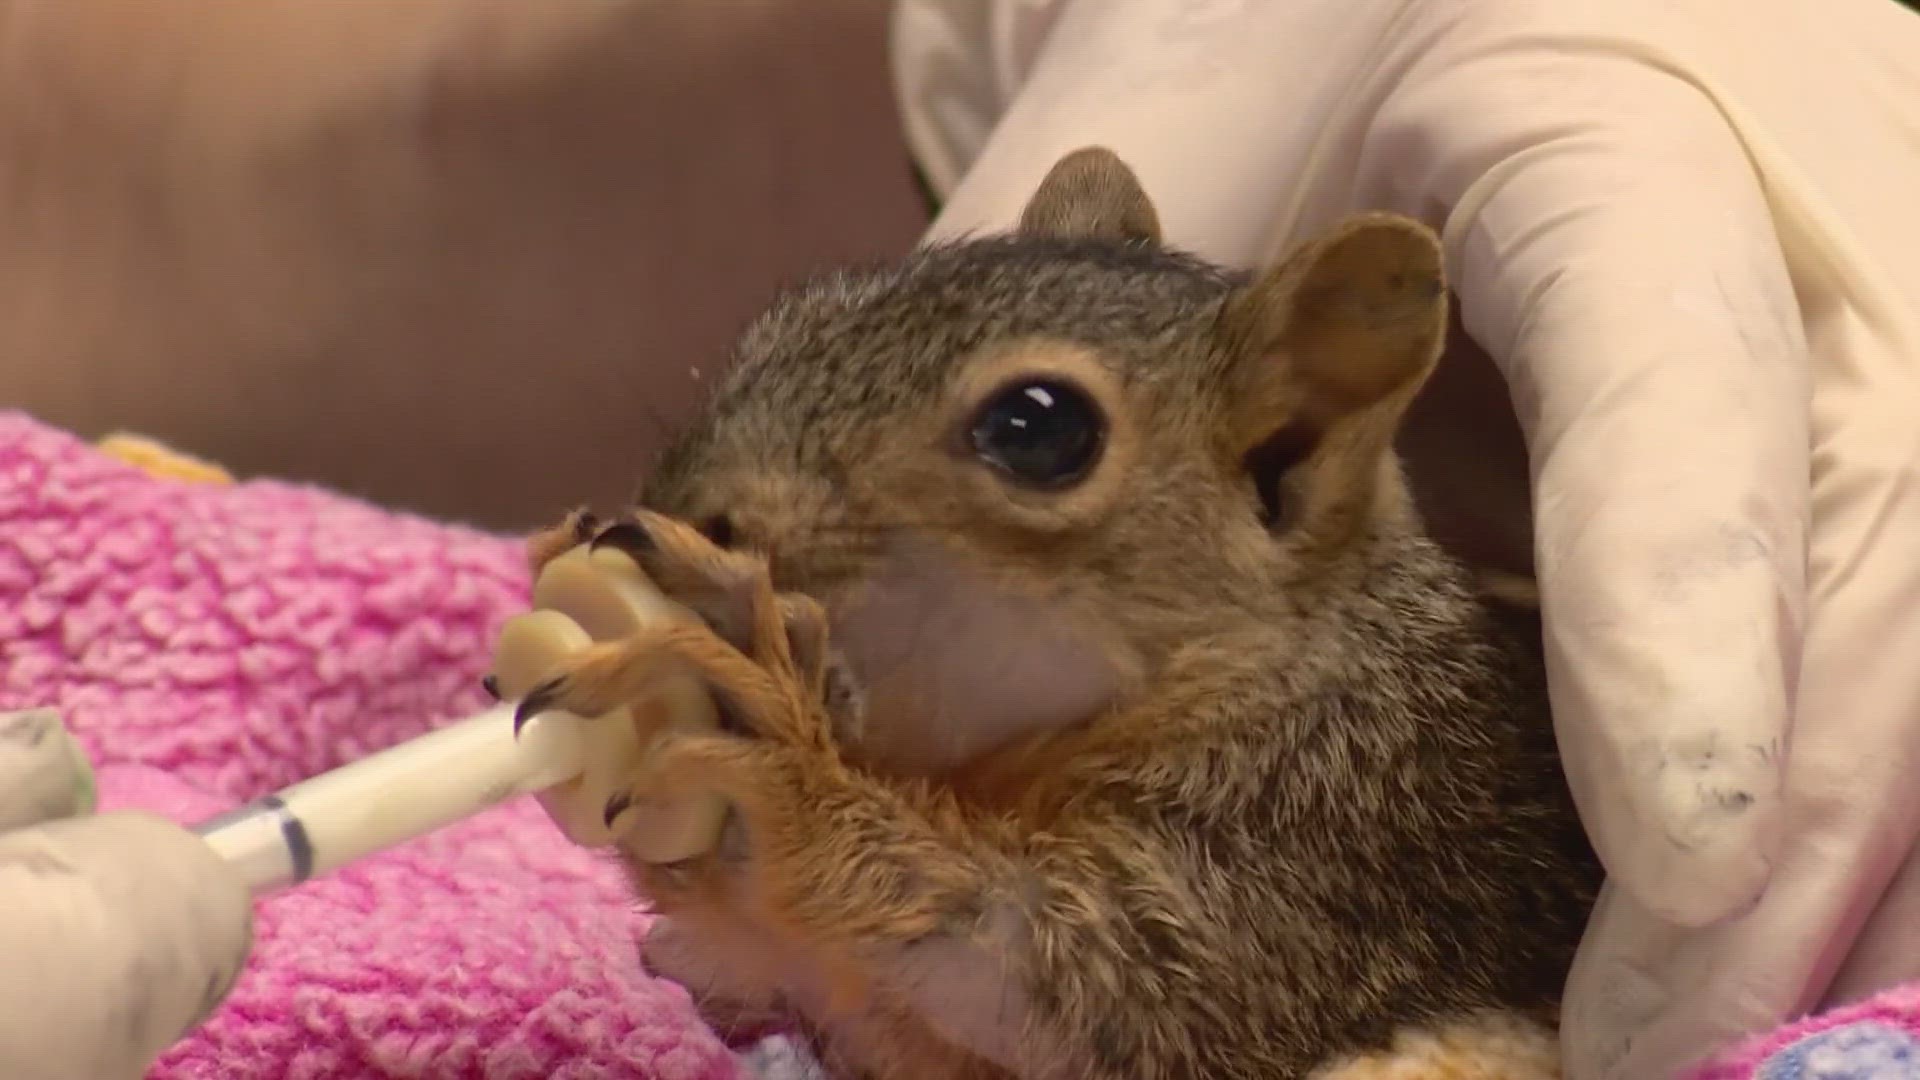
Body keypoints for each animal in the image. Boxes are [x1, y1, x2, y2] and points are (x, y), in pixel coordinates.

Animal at [518, 147, 1597, 1068]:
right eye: (792, 315)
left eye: (1039, 429)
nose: (685, 504)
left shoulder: (1319, 869)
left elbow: (1071, 973)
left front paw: (776, 753)